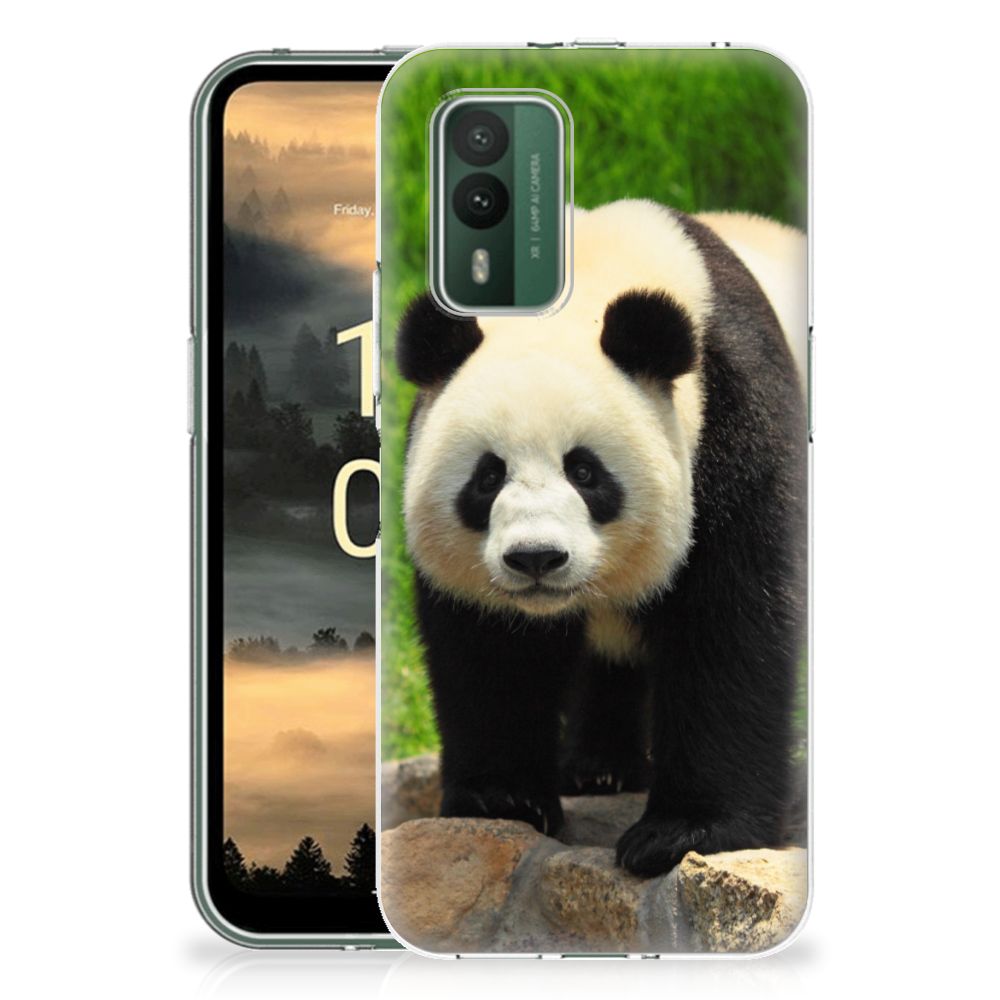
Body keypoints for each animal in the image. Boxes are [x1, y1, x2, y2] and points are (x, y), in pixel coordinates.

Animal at [394, 199, 807, 877]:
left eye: (585, 472)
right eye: (487, 477)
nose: (536, 558)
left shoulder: (735, 422)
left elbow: (730, 625)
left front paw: (683, 832)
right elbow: (491, 649)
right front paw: (502, 798)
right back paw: (598, 768)